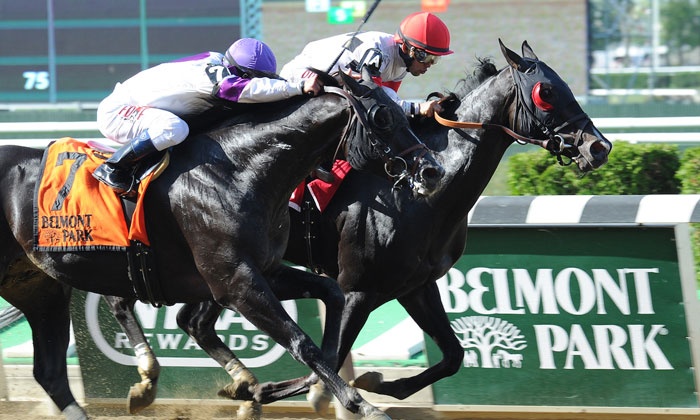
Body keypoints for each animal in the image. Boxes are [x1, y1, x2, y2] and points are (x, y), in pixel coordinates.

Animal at [0, 70, 442, 418]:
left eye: (402, 112)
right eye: (381, 117)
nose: (432, 170)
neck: (239, 171)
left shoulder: (263, 271)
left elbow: (331, 297)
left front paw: (296, 390)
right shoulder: (236, 283)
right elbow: (300, 341)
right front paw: (360, 404)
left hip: (38, 287)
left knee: (55, 367)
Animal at [102, 39, 612, 414]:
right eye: (546, 92)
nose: (599, 147)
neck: (422, 196)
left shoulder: (416, 285)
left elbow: (452, 355)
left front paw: (376, 380)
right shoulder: (357, 289)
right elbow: (326, 354)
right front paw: (298, 391)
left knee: (191, 319)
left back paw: (225, 382)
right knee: (157, 306)